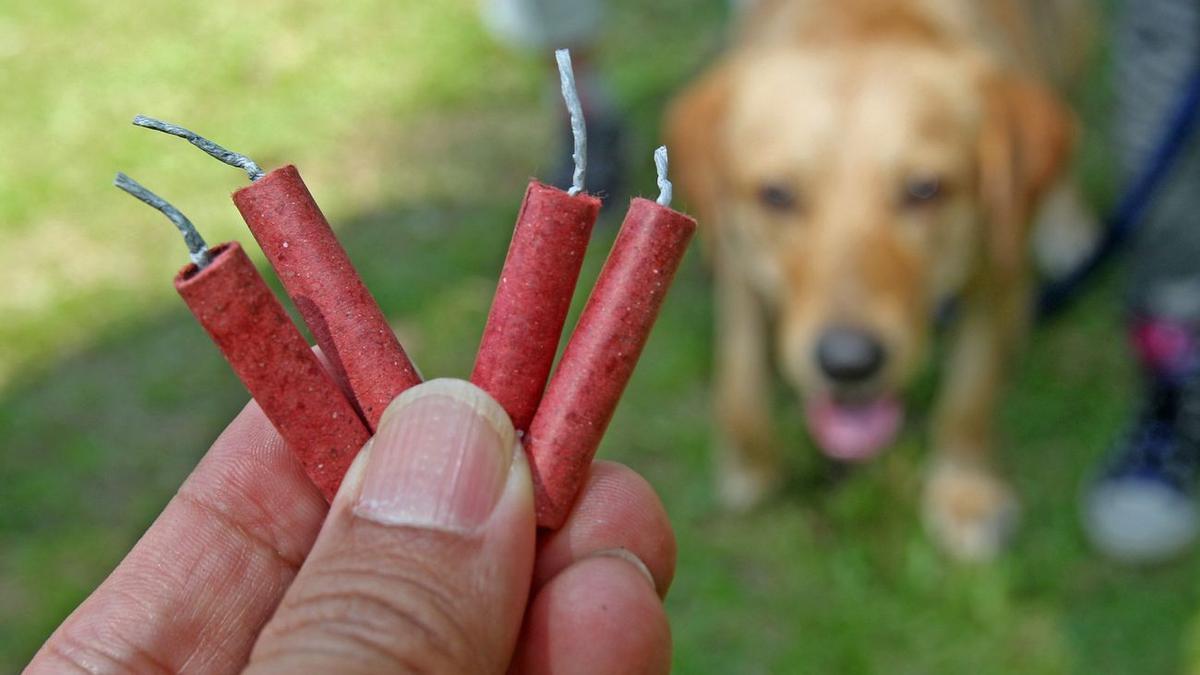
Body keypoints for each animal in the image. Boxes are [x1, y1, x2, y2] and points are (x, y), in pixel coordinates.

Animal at [667, 0, 1099, 557]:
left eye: (925, 189)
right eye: (777, 194)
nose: (849, 364)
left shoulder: (1000, 278)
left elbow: (970, 396)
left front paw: (964, 491)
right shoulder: (739, 260)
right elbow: (739, 375)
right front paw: (750, 460)